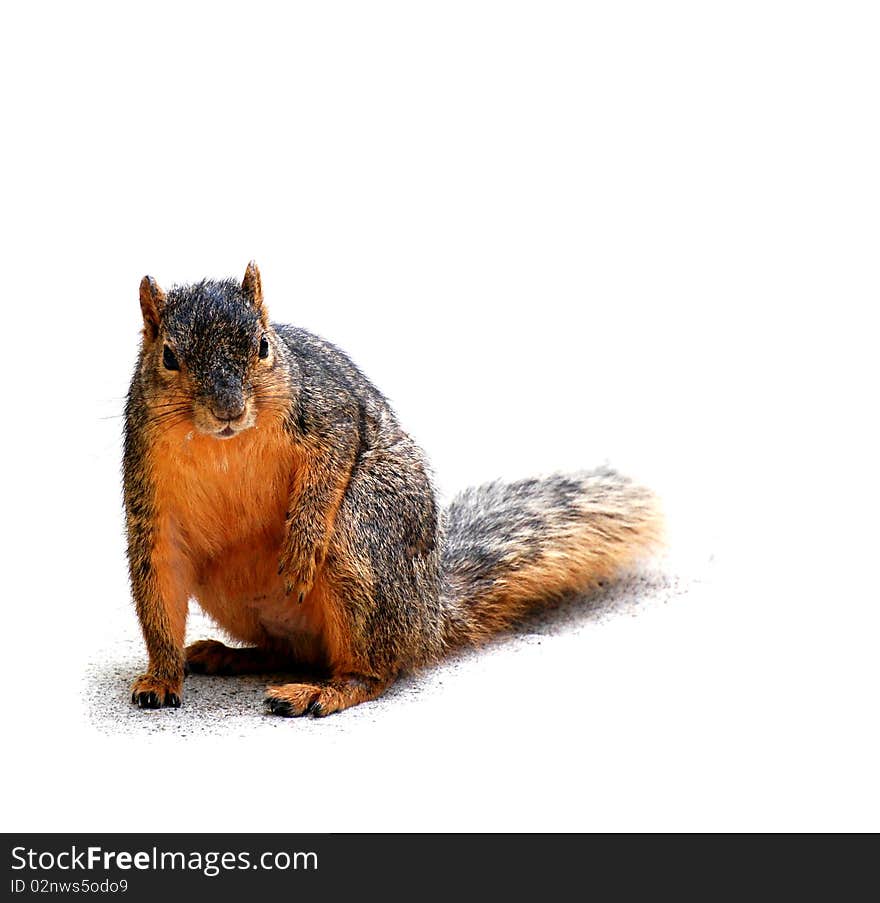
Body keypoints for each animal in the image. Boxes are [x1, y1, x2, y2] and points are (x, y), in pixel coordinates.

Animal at [122, 264, 660, 720]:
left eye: (262, 346)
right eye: (169, 356)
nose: (229, 410)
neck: (223, 445)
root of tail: (429, 618)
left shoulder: (329, 414)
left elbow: (330, 467)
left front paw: (302, 544)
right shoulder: (149, 492)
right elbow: (159, 584)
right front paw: (161, 678)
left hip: (361, 540)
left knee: (375, 669)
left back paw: (324, 691)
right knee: (288, 651)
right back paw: (228, 655)